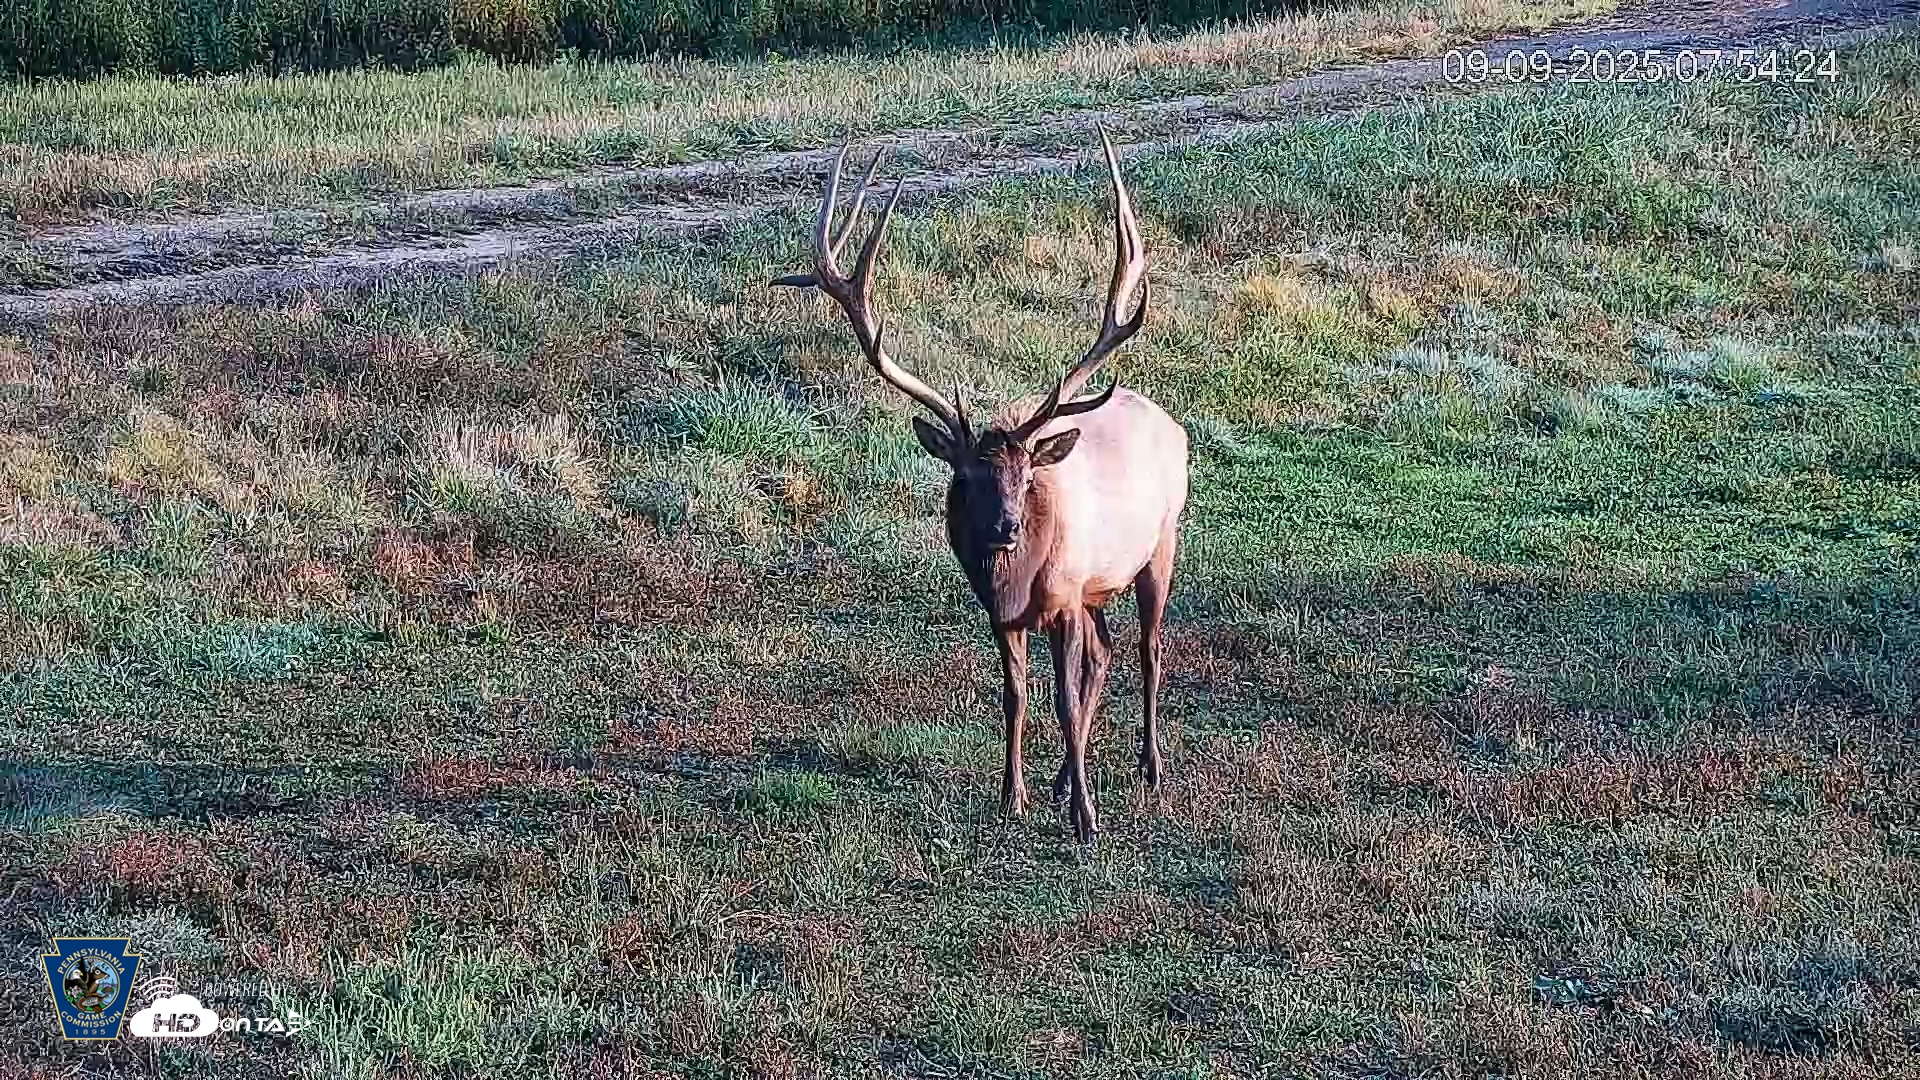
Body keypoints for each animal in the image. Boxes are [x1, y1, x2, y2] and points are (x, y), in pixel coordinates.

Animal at [772, 132, 1188, 843]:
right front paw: (1013, 794)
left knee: (1149, 649)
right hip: (1101, 583)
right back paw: (1063, 779)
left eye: (1026, 476)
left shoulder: (1064, 596)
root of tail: (1174, 423)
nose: (1004, 528)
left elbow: (1063, 698)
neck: (1018, 578)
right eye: (966, 475)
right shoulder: (1005, 612)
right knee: (1106, 654)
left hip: (1159, 545)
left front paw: (1085, 818)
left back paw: (1149, 766)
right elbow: (1016, 695)